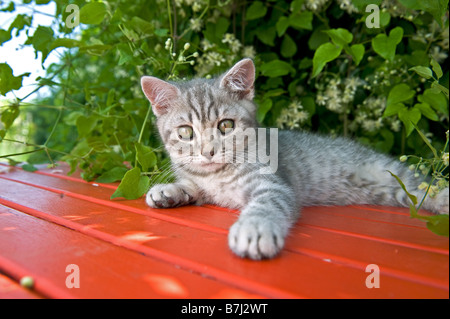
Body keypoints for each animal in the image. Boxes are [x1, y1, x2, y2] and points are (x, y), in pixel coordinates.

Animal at [140, 58, 446, 262]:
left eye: (226, 126)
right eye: (185, 132)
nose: (208, 151)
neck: (217, 176)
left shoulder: (273, 183)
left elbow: (266, 203)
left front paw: (254, 228)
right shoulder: (205, 184)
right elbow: (194, 186)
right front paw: (169, 190)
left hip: (400, 177)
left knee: (430, 187)